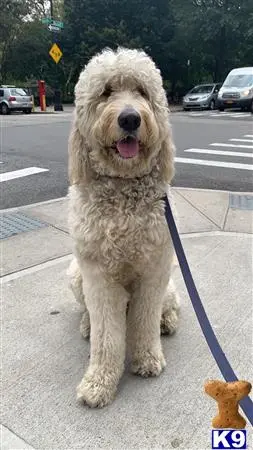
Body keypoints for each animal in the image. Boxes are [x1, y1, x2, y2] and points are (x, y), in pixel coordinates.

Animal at [67, 46, 180, 408]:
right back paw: (87, 325)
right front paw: (99, 382)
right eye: (106, 92)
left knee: (167, 306)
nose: (130, 118)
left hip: (170, 283)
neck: (123, 185)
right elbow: (107, 337)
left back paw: (167, 321)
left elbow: (144, 320)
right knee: (89, 314)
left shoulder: (155, 271)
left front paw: (147, 359)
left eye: (142, 92)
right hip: (76, 275)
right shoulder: (99, 278)